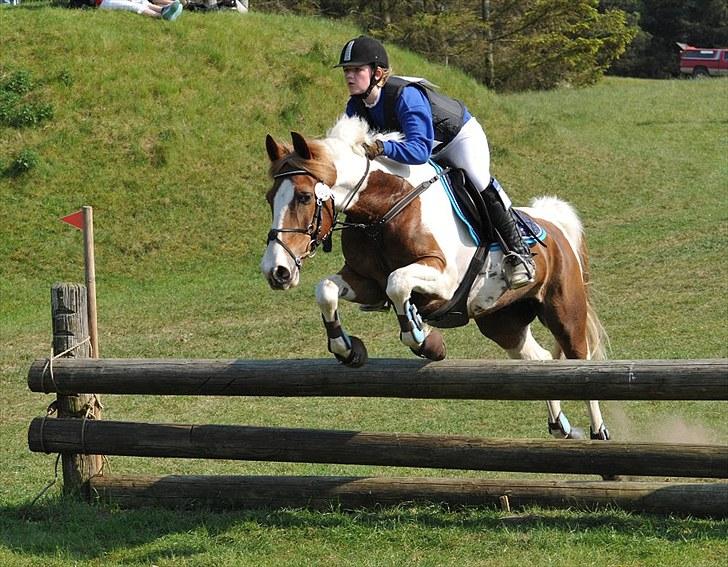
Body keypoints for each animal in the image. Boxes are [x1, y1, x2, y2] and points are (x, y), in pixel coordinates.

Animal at [258, 113, 612, 442]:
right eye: (269, 197)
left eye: (304, 197)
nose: (277, 271)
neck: (383, 208)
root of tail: (553, 224)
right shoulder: (365, 283)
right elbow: (327, 289)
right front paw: (347, 349)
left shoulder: (443, 280)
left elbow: (398, 283)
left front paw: (424, 339)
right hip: (502, 320)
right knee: (537, 360)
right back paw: (560, 426)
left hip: (564, 311)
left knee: (581, 360)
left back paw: (598, 432)